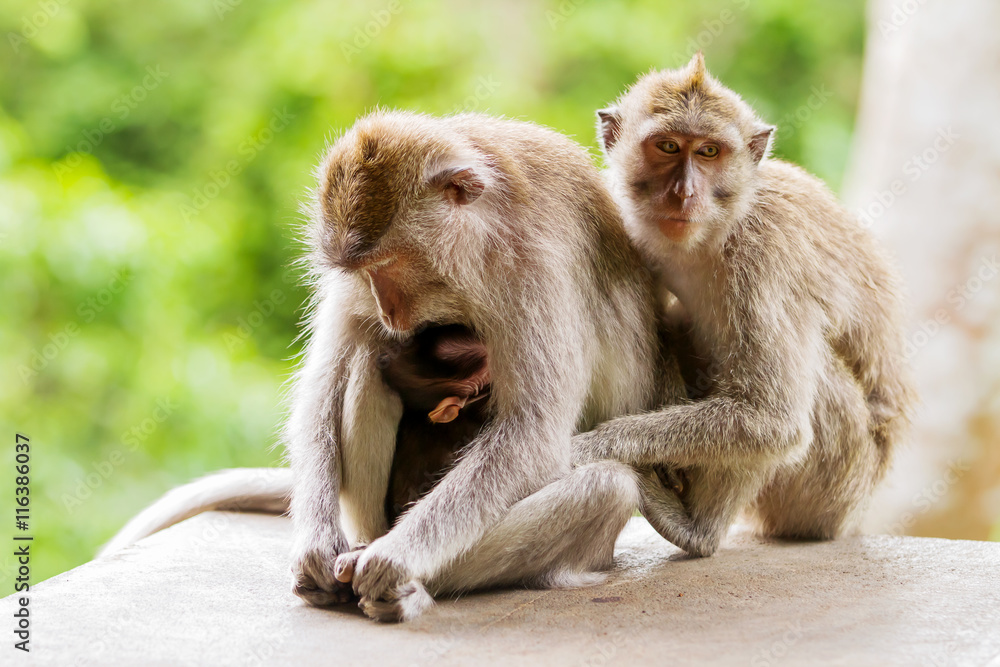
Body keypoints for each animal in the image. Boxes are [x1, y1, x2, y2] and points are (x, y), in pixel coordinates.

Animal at [573, 52, 916, 556]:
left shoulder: (766, 253)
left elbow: (771, 418)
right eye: (668, 147)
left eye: (709, 152)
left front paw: (592, 446)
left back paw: (697, 530)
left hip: (836, 488)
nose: (684, 193)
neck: (718, 228)